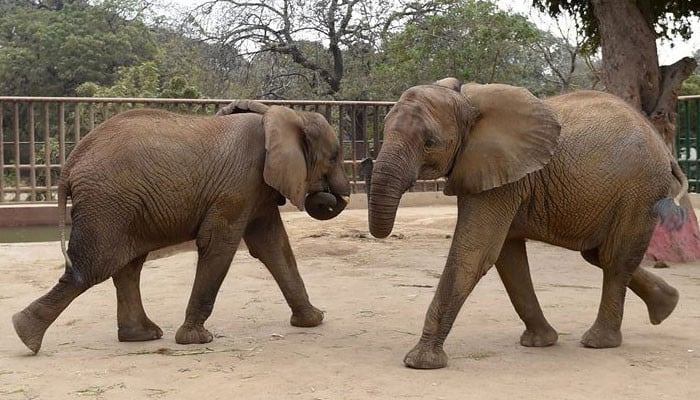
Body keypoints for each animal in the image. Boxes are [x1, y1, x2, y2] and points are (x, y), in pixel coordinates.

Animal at [15, 100, 356, 354]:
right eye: (334, 156)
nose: (329, 194)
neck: (285, 115)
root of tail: (70, 164)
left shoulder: (256, 189)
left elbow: (273, 245)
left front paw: (313, 320)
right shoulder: (238, 186)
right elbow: (219, 245)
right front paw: (196, 340)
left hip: (125, 208)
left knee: (127, 267)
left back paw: (141, 336)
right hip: (108, 204)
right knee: (92, 268)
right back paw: (25, 335)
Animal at [370, 78, 688, 368]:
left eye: (430, 143)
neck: (466, 102)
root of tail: (665, 150)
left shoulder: (499, 175)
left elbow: (474, 253)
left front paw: (420, 362)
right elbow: (507, 257)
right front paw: (540, 342)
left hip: (640, 190)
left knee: (614, 259)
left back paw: (599, 342)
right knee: (598, 254)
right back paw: (667, 306)